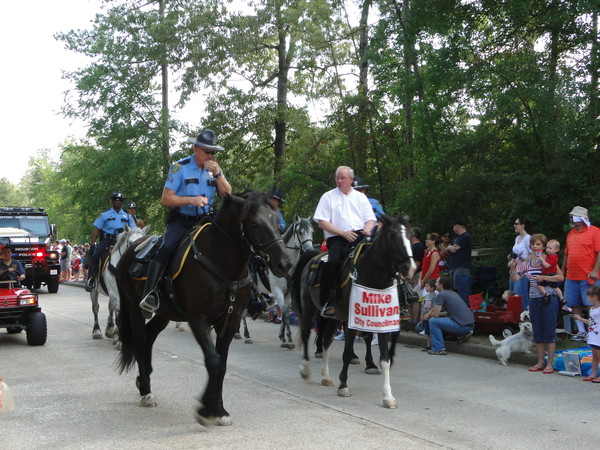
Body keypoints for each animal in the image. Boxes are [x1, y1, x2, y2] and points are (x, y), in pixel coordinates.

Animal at [115, 192, 292, 428]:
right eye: (255, 224)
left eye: (278, 223)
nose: (284, 264)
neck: (222, 262)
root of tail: (131, 250)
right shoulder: (199, 319)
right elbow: (213, 361)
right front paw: (206, 409)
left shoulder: (231, 320)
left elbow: (222, 365)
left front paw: (218, 409)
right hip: (134, 308)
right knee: (140, 341)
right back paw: (145, 391)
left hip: (165, 313)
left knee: (149, 335)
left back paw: (145, 381)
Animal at [292, 216, 414, 410]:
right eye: (393, 236)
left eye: (411, 235)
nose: (410, 267)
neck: (372, 275)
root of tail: (314, 256)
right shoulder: (351, 321)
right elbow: (347, 353)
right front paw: (343, 386)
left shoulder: (381, 323)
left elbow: (385, 359)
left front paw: (388, 396)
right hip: (309, 308)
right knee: (306, 334)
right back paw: (305, 369)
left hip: (334, 317)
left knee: (326, 341)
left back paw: (325, 376)